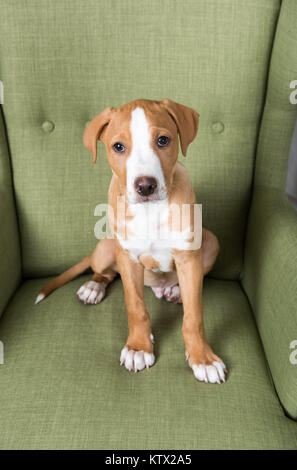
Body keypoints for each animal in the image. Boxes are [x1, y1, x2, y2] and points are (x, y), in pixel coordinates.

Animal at [37, 98, 227, 382]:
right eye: (118, 146)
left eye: (163, 140)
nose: (145, 186)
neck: (151, 211)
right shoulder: (127, 258)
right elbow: (136, 308)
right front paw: (139, 347)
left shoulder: (188, 256)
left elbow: (194, 317)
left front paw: (202, 358)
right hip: (106, 246)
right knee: (104, 272)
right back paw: (93, 287)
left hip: (210, 241)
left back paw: (174, 290)